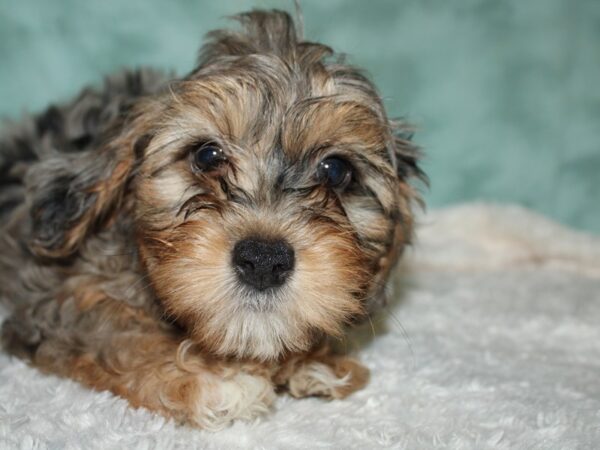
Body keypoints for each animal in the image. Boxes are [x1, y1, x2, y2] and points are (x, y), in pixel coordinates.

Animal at [0, 9, 422, 428]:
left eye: (335, 170)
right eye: (207, 155)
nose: (264, 260)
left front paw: (312, 361)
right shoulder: (50, 299)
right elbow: (114, 331)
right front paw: (211, 380)